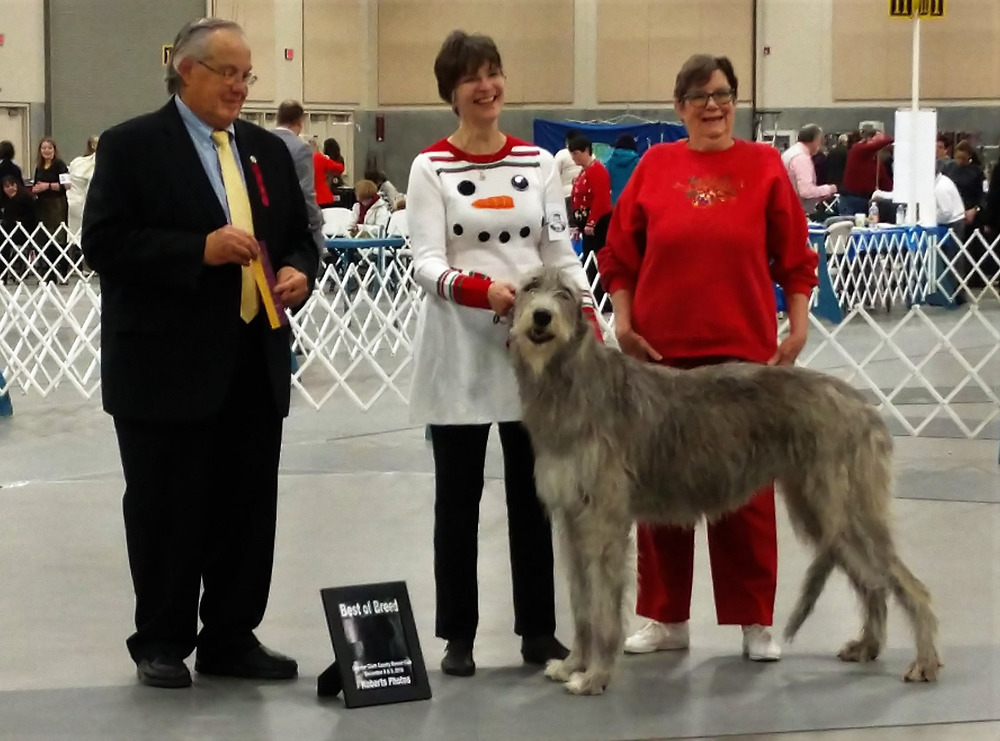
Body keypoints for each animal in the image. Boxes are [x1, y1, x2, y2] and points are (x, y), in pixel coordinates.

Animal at [508, 268, 936, 692]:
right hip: (821, 514)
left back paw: (925, 661)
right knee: (873, 582)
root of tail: (863, 404)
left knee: (908, 583)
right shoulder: (571, 520)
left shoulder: (603, 521)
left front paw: (594, 676)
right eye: (531, 287)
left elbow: (602, 608)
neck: (570, 382)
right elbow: (581, 601)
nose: (542, 317)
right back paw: (868, 645)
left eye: (564, 294)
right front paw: (572, 665)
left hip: (847, 508)